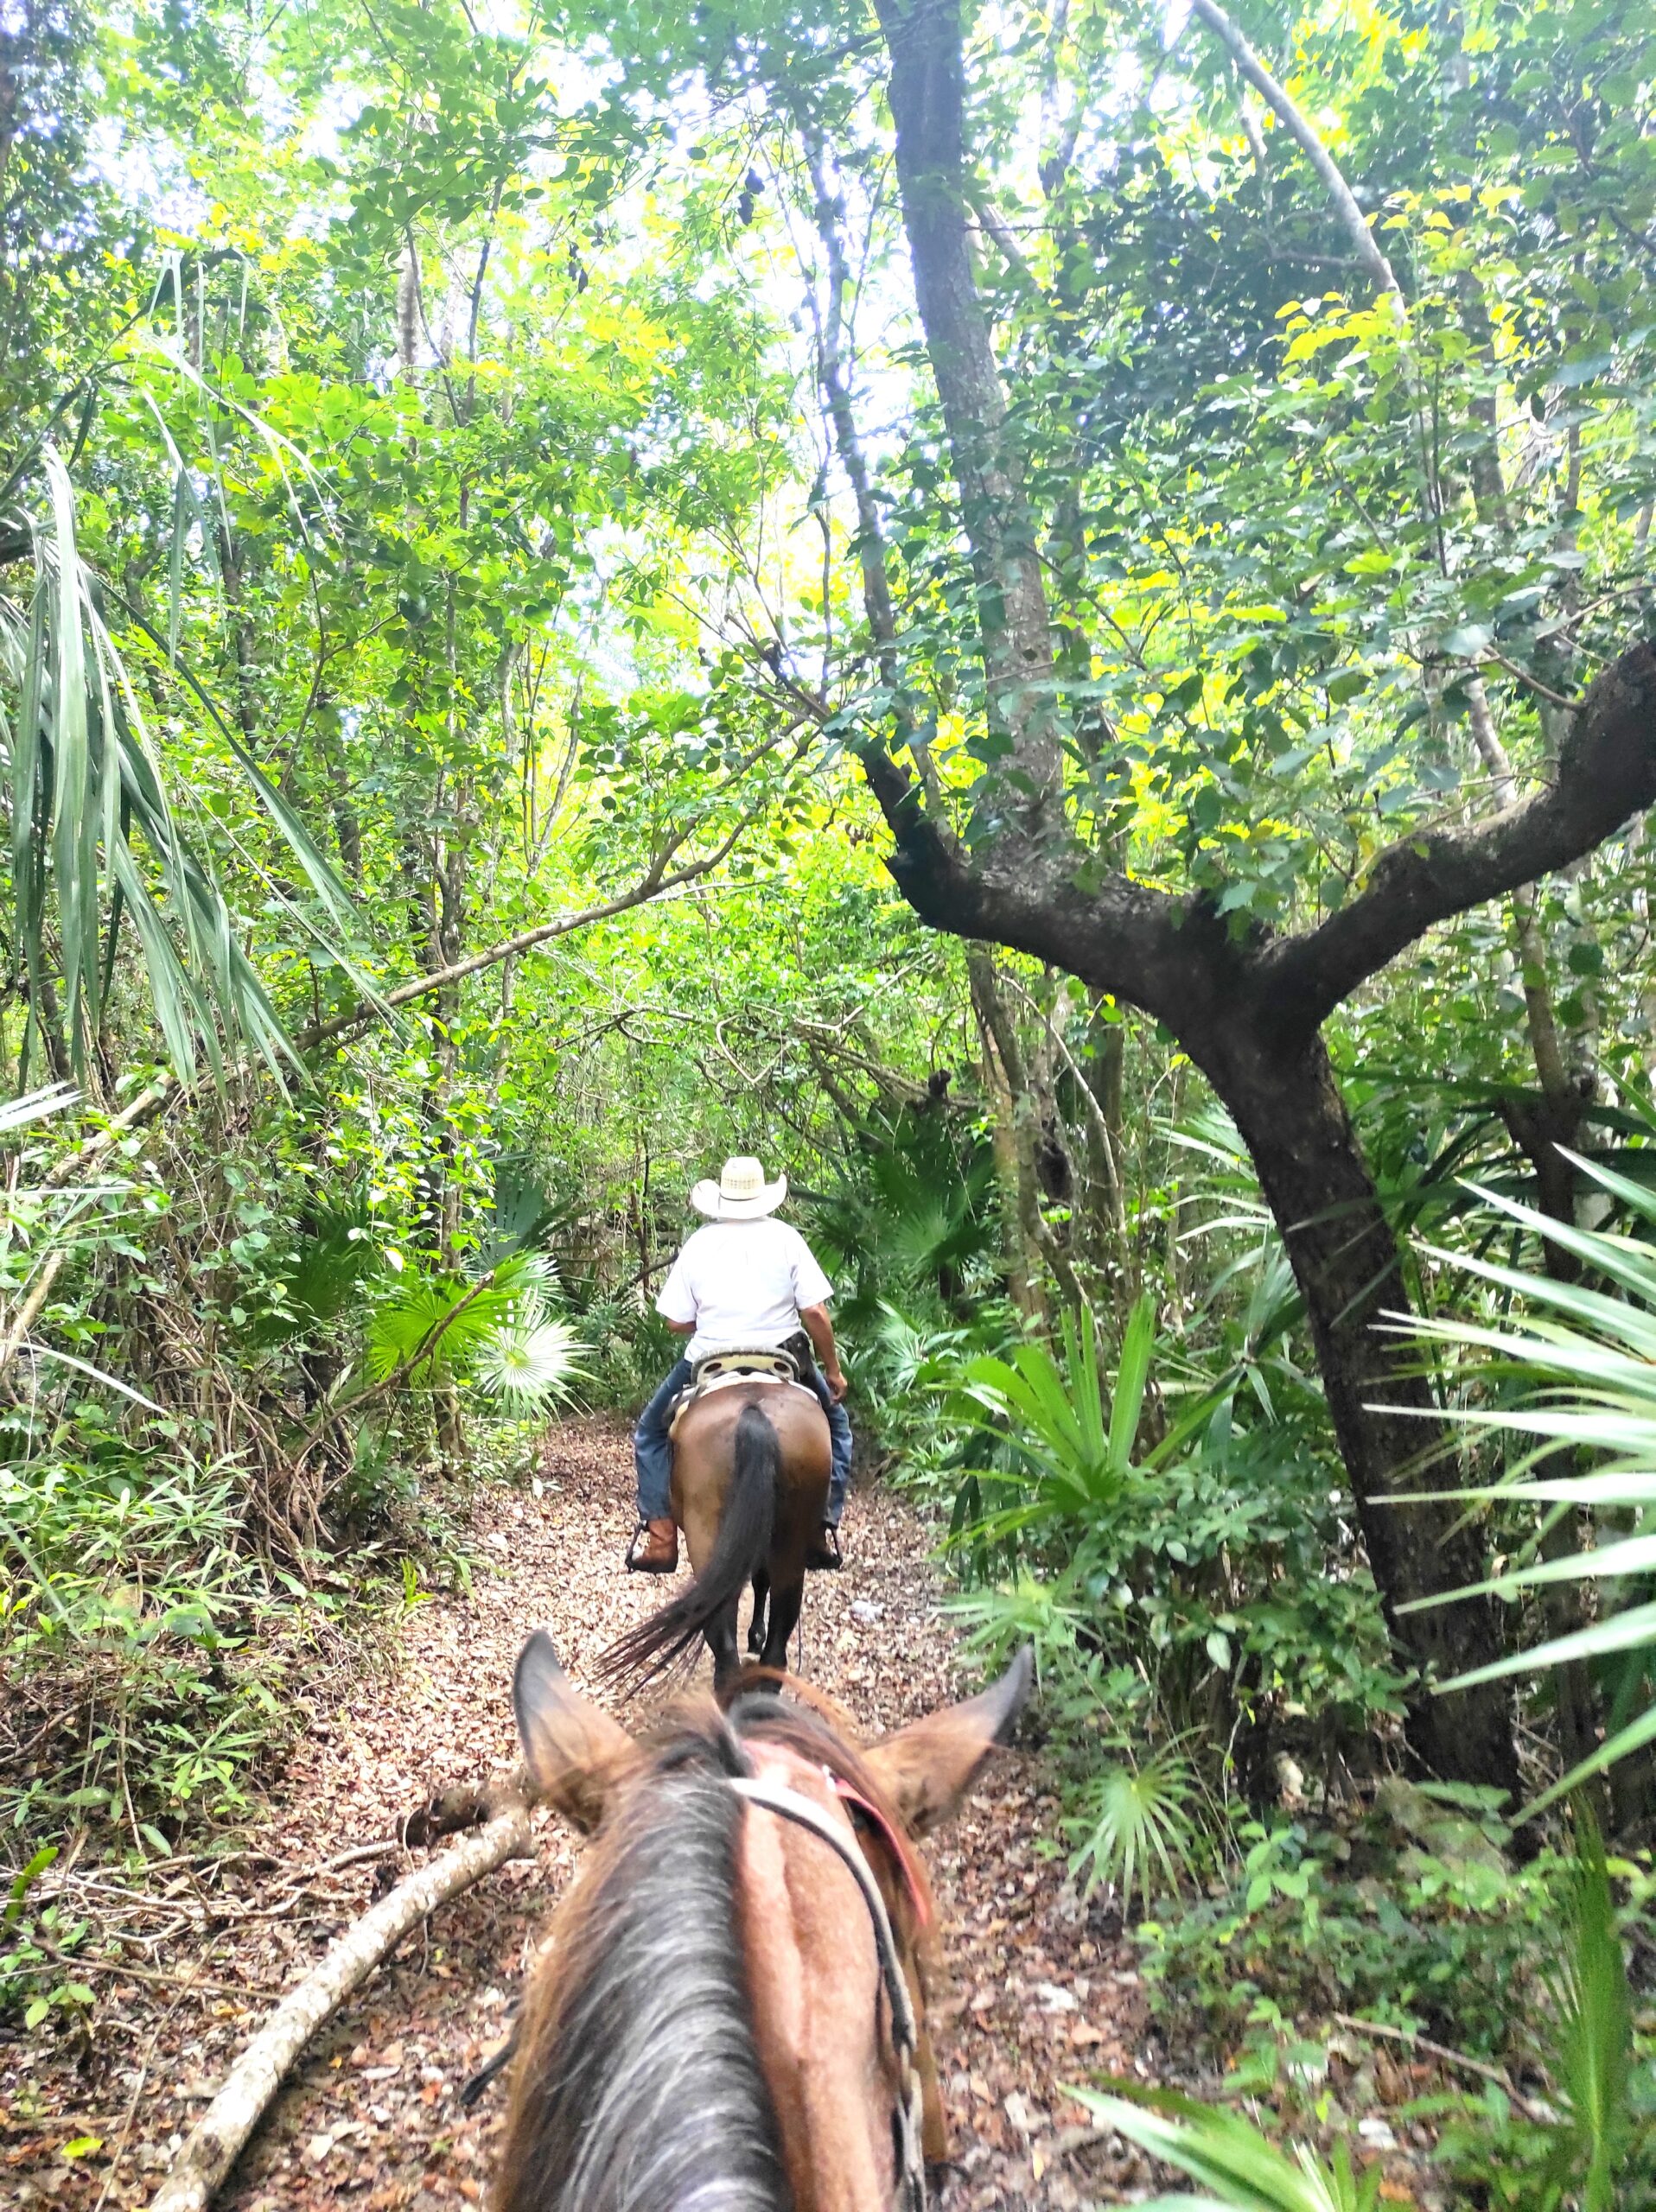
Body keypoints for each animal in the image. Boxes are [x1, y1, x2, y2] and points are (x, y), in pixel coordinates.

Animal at [602, 1380, 827, 1689]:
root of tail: (753, 1414)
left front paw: (755, 1636)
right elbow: (761, 1580)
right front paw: (756, 1636)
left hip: (707, 1536)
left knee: (726, 1649)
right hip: (789, 1542)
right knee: (774, 1649)